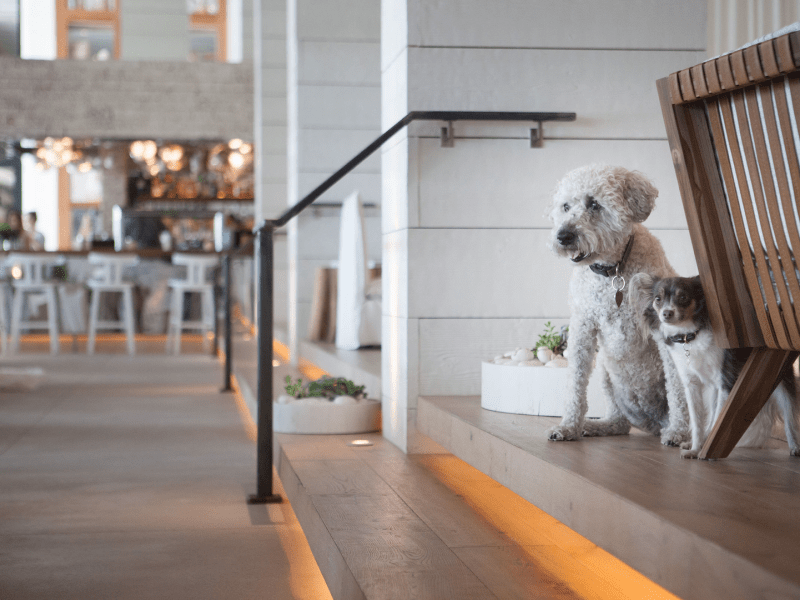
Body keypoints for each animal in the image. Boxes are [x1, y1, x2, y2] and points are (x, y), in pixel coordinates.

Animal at [548, 164, 692, 446]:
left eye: (594, 204)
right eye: (565, 206)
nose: (563, 236)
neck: (612, 270)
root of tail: (652, 421)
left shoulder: (664, 330)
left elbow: (677, 389)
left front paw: (678, 432)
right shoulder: (583, 327)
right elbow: (574, 383)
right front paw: (568, 426)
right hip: (606, 373)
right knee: (620, 423)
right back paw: (597, 425)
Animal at [632, 274, 800, 458]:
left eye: (683, 297)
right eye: (658, 299)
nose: (667, 313)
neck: (690, 336)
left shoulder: (724, 382)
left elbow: (716, 421)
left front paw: (703, 449)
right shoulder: (692, 385)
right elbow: (697, 422)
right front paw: (696, 448)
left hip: (778, 375)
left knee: (789, 415)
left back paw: (794, 447)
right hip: (713, 389)